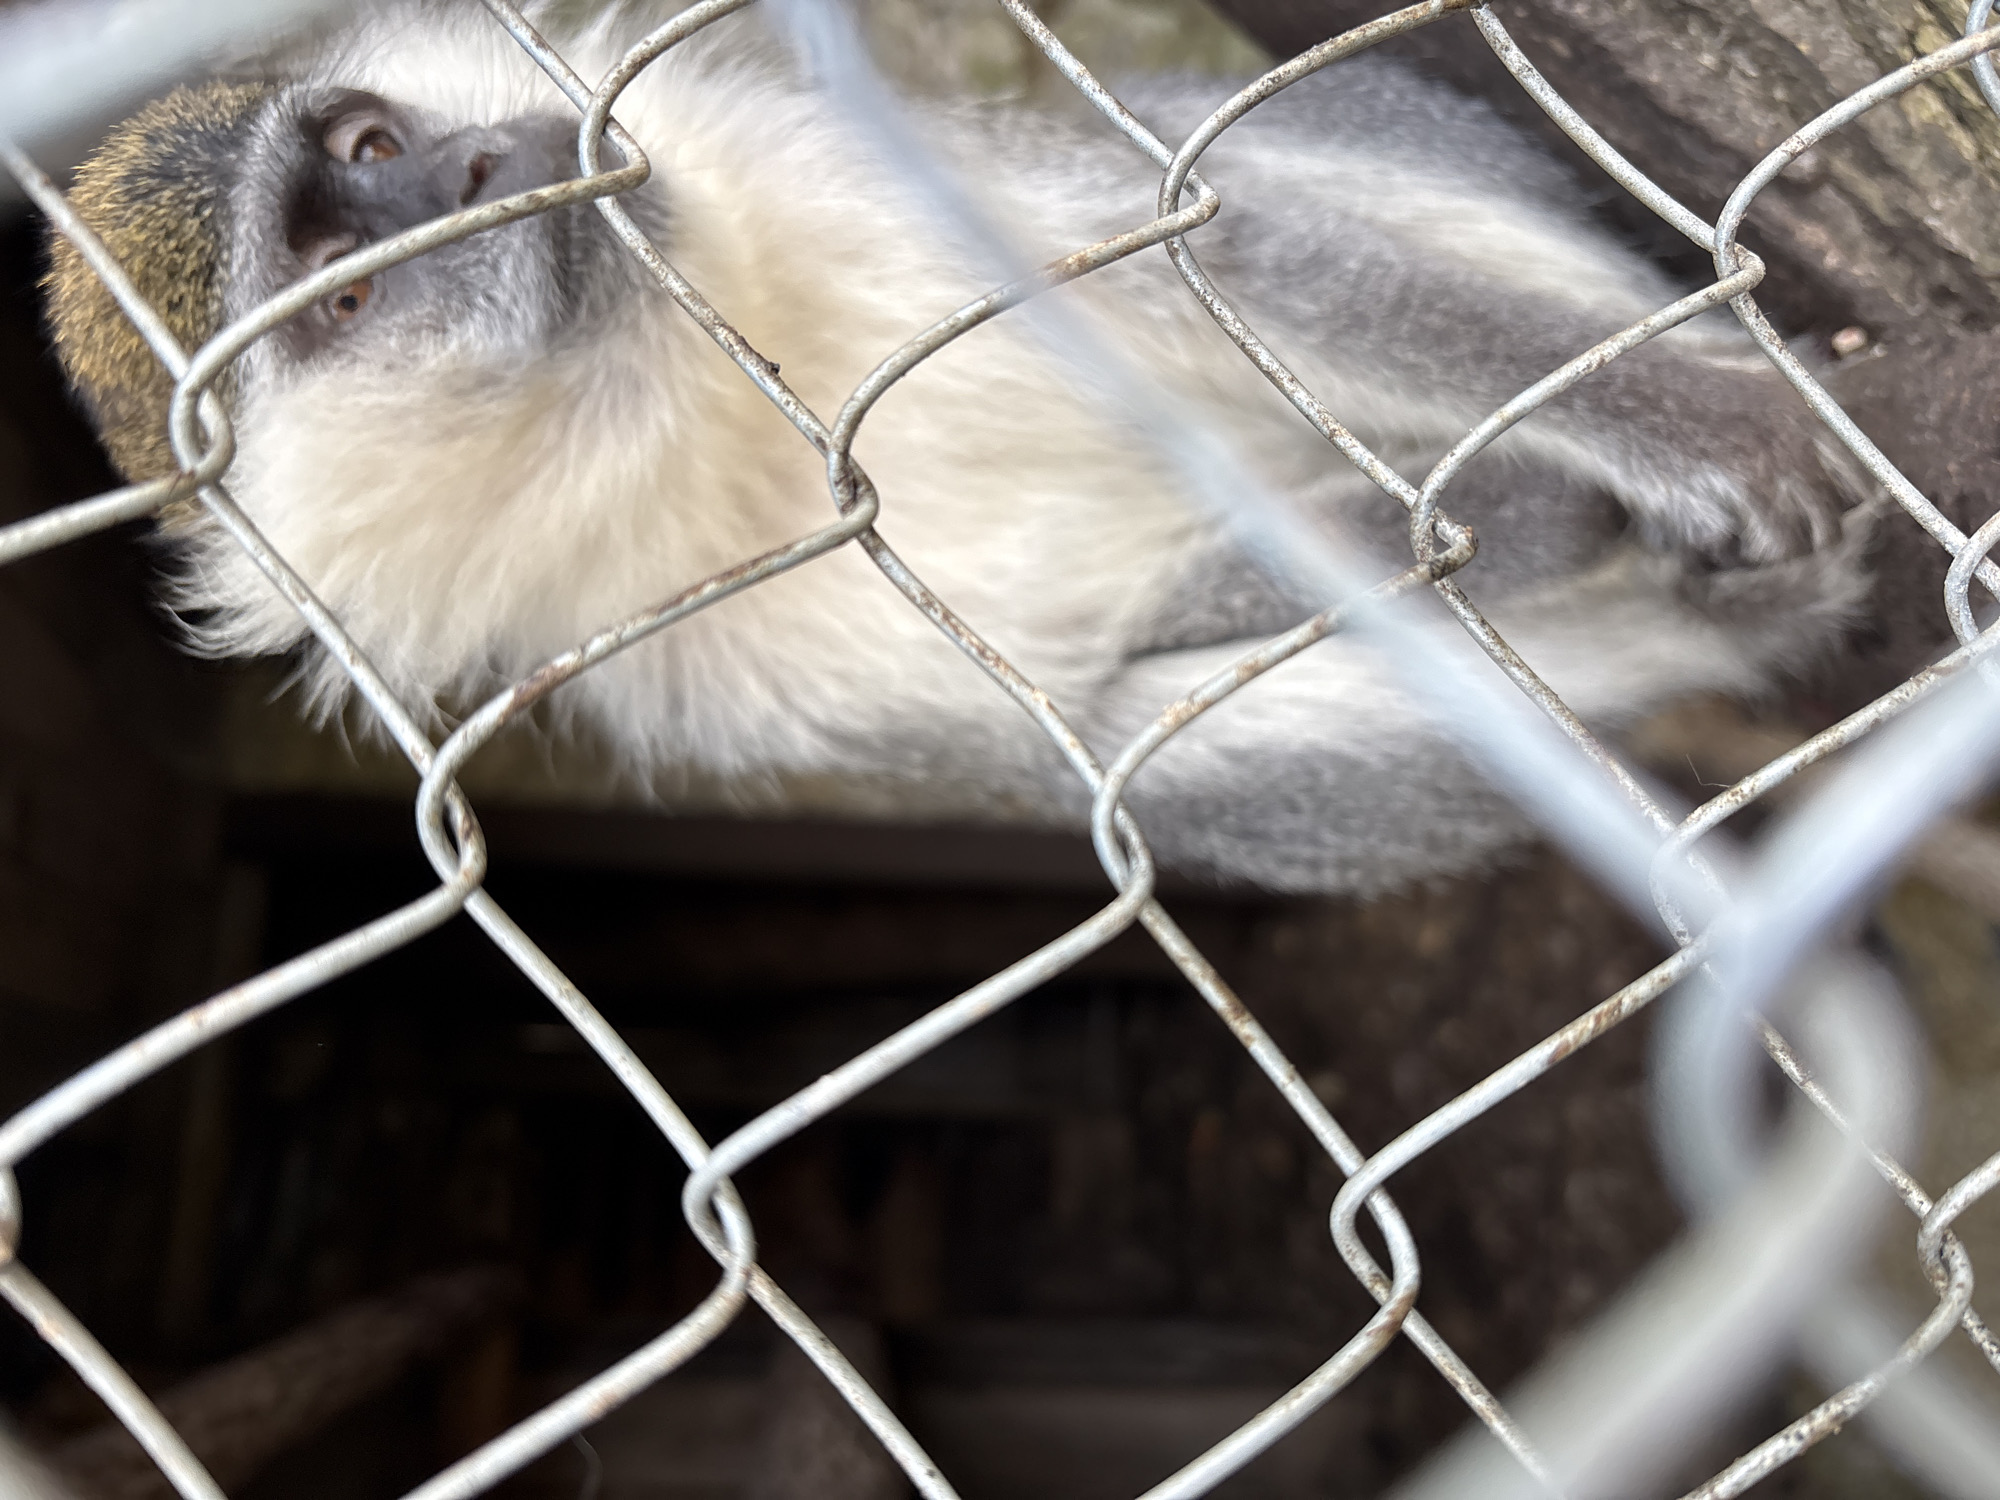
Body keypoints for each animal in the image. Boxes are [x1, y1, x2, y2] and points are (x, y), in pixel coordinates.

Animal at [41, 2, 1874, 895]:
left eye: (374, 146)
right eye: (345, 294)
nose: (488, 171)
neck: (655, 394)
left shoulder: (824, 171)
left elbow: (1210, 246)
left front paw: (1680, 427)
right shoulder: (703, 664)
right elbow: (1096, 704)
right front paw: (1524, 513)